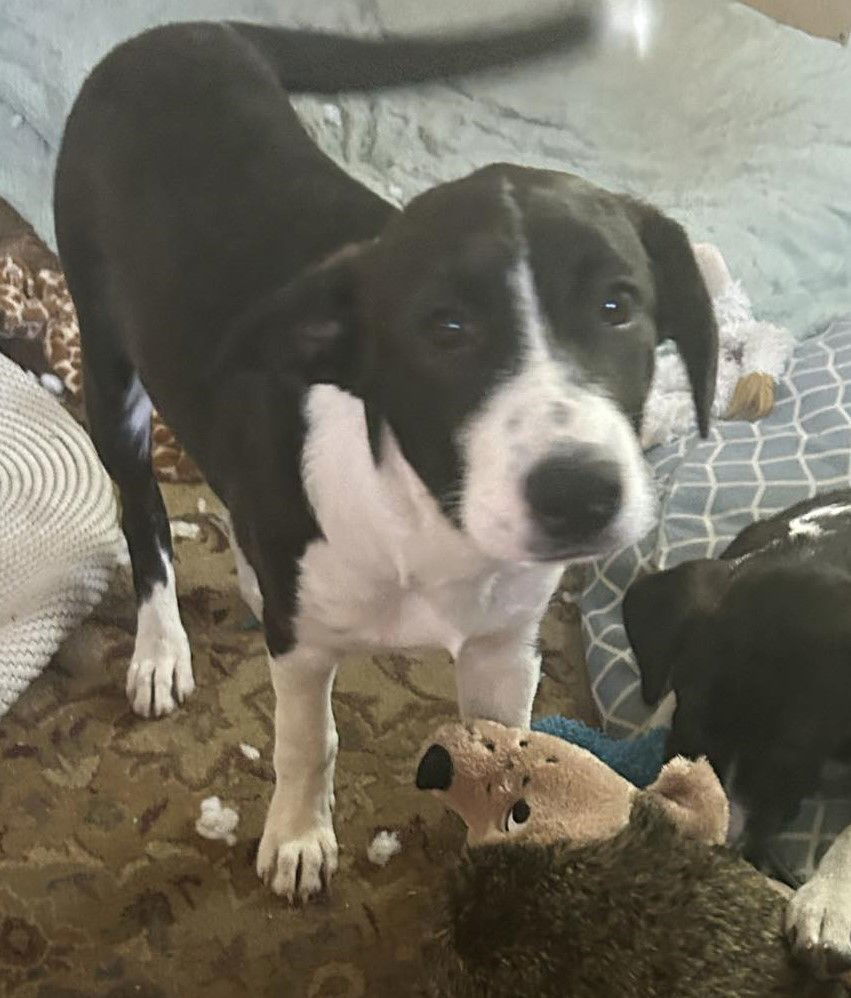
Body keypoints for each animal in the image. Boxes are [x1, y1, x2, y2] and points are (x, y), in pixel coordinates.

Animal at [55, 17, 720, 908]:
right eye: (446, 329)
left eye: (618, 307)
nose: (581, 495)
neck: (429, 515)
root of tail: (185, 29)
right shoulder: (303, 655)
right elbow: (309, 741)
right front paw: (297, 838)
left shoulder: (503, 648)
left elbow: (509, 751)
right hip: (110, 367)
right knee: (145, 512)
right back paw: (161, 646)